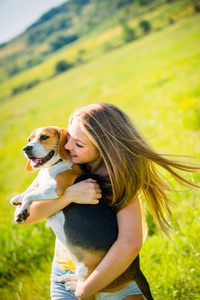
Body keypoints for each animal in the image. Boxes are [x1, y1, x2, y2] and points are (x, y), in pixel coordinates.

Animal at [10, 125, 154, 298]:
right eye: (29, 140)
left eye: (44, 137)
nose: (26, 148)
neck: (56, 164)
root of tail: (136, 270)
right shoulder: (43, 186)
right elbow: (30, 191)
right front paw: (18, 198)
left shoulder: (54, 189)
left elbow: (31, 194)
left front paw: (22, 209)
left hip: (91, 275)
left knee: (88, 286)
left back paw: (73, 284)